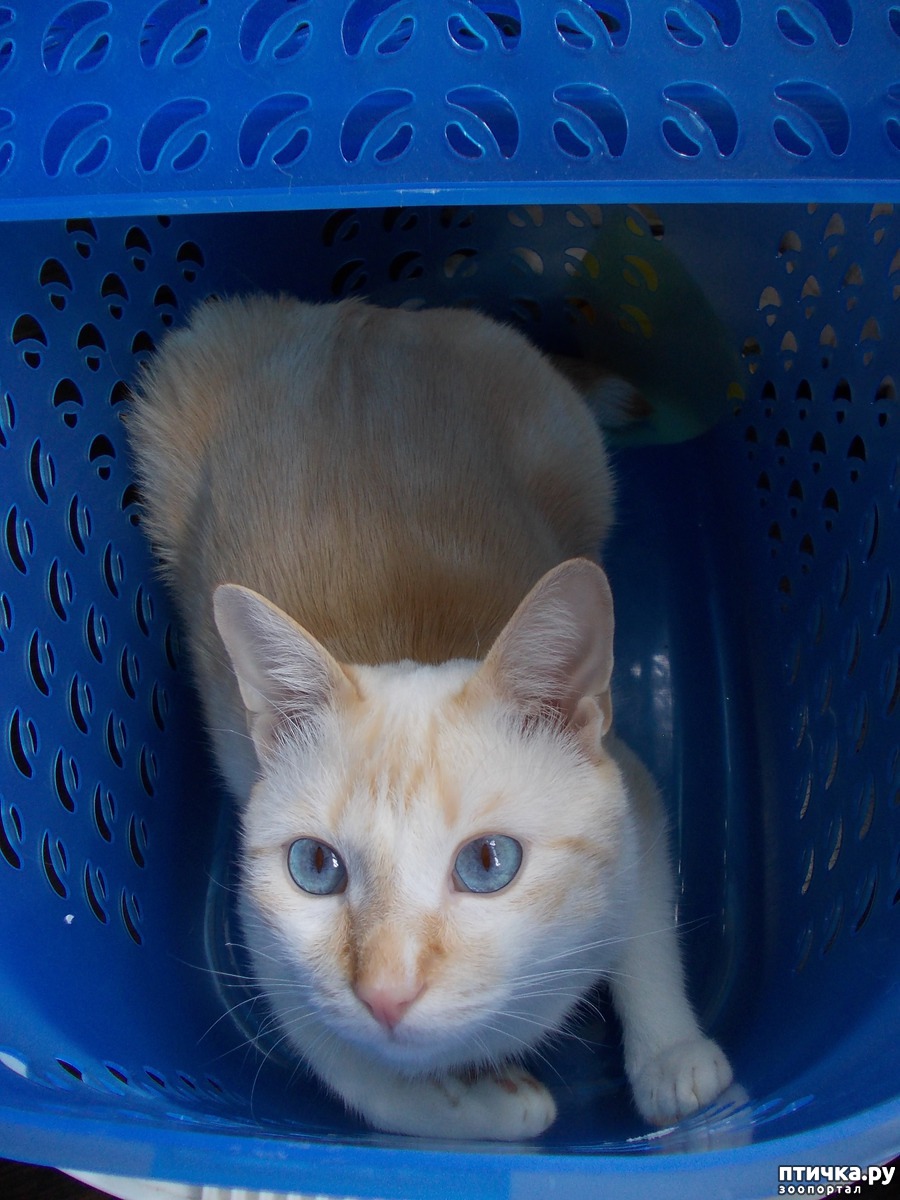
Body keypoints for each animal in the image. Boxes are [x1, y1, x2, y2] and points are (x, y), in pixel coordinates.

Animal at [126, 294, 733, 1140]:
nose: (384, 993)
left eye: (489, 864)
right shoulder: (268, 954)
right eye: (315, 868)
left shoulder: (637, 800)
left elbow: (647, 939)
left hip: (580, 458)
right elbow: (368, 1084)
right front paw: (496, 1104)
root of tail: (356, 313)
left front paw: (676, 1067)